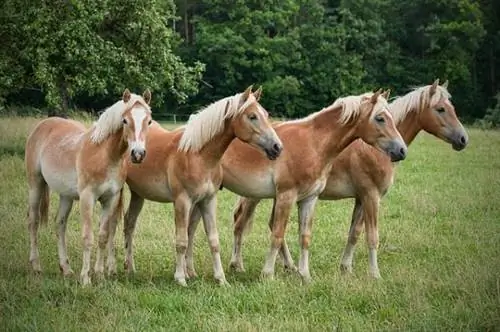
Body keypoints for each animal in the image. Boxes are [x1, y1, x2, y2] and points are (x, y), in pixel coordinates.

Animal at [24, 89, 152, 286]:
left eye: (149, 121)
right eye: (125, 120)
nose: (138, 154)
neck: (105, 155)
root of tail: (41, 126)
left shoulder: (111, 199)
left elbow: (103, 236)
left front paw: (99, 275)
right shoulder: (87, 197)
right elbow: (87, 237)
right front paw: (85, 278)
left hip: (66, 196)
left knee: (59, 224)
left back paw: (66, 269)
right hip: (35, 185)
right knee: (33, 221)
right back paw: (36, 266)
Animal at [121, 85, 284, 286]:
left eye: (266, 114)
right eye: (252, 116)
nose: (277, 147)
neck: (198, 155)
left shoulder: (208, 200)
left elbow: (213, 240)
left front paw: (221, 279)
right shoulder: (182, 201)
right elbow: (182, 241)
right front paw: (180, 278)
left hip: (138, 194)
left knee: (129, 224)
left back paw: (130, 268)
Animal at [186, 88, 408, 282]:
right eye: (380, 118)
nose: (401, 150)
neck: (314, 143)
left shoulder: (309, 199)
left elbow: (305, 237)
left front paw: (304, 275)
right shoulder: (287, 196)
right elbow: (277, 234)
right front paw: (268, 275)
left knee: (195, 227)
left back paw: (196, 271)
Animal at [230, 78, 468, 280]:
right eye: (441, 109)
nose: (463, 139)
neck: (371, 150)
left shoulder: (361, 198)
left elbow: (354, 233)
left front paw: (346, 268)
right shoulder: (371, 196)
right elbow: (372, 236)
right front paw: (375, 275)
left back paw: (290, 267)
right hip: (255, 195)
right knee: (242, 222)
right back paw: (238, 265)